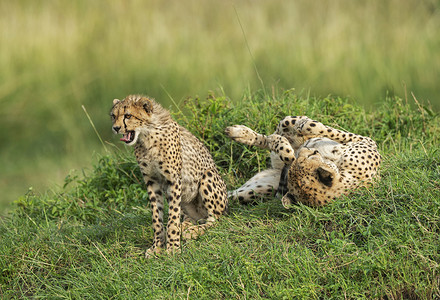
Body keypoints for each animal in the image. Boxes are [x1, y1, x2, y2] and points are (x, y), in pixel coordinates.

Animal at [111, 95, 227, 256]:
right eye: (113, 116)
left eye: (128, 115)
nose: (115, 128)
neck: (146, 135)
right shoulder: (152, 181)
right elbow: (156, 217)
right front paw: (157, 246)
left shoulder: (173, 180)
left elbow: (172, 217)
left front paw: (172, 247)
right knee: (191, 217)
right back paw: (185, 226)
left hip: (208, 176)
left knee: (214, 219)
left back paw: (193, 231)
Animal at [225, 116, 380, 207]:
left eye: (309, 156)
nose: (304, 149)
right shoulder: (367, 141)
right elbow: (324, 130)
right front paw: (307, 125)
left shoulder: (367, 142)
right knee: (279, 128)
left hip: (256, 190)